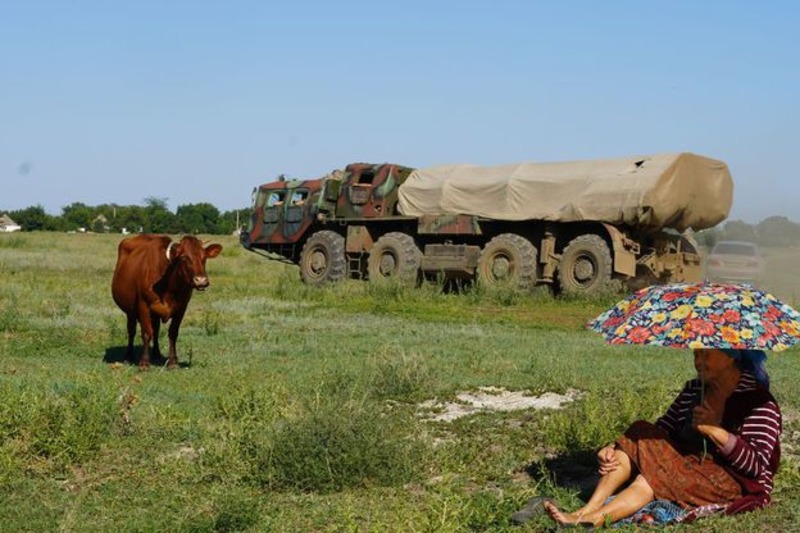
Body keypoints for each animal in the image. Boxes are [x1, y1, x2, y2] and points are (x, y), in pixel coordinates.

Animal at [109, 235, 222, 368]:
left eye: (204, 257)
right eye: (184, 258)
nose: (201, 281)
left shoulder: (181, 308)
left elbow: (173, 333)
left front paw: (173, 362)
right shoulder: (143, 306)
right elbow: (146, 333)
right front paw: (144, 363)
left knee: (156, 330)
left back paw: (156, 353)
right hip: (130, 311)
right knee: (131, 330)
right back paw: (128, 356)